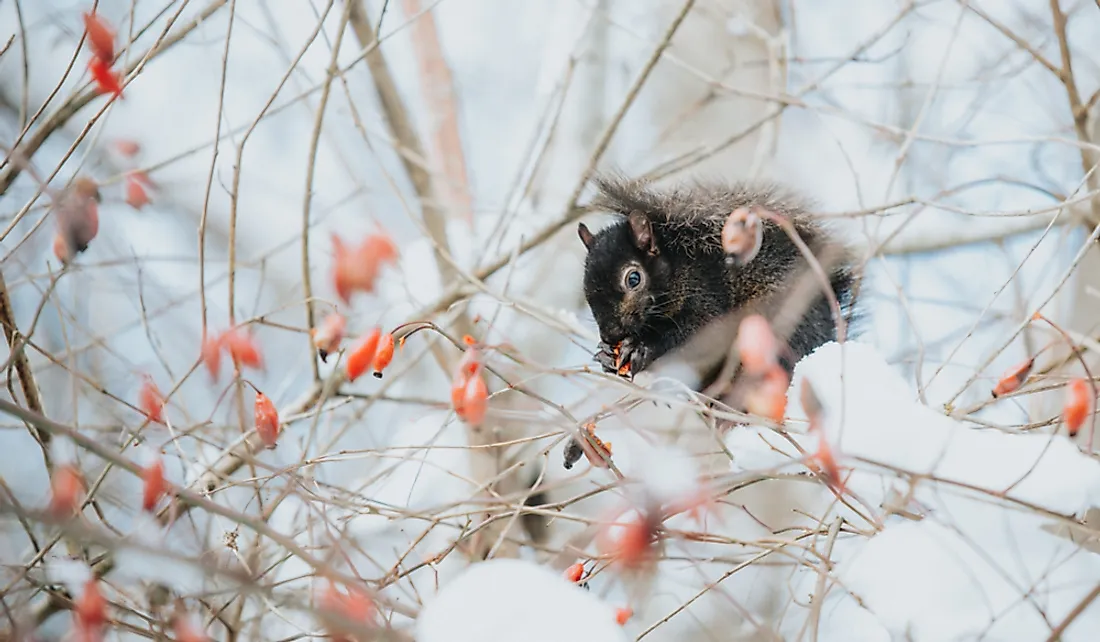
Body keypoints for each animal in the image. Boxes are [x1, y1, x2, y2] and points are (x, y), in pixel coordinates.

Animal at [576, 172, 858, 389]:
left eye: (633, 278)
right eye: (585, 284)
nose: (610, 334)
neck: (680, 273)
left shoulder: (707, 297)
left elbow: (696, 332)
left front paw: (640, 347)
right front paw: (605, 355)